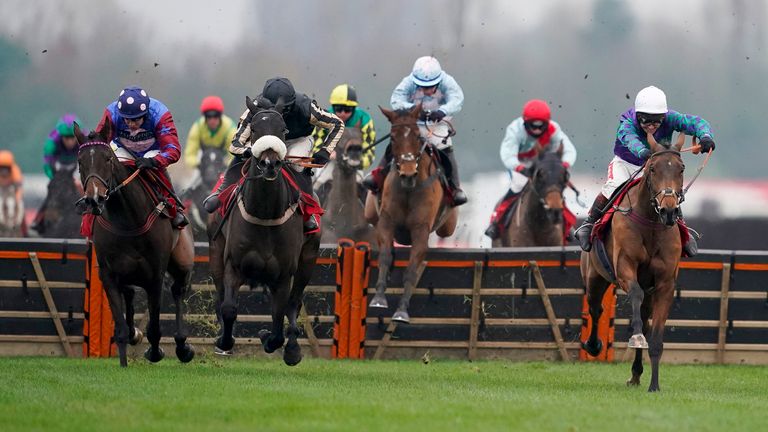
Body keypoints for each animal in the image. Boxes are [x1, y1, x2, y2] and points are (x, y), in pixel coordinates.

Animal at [74, 122, 196, 368]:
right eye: (80, 161)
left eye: (108, 159)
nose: (94, 198)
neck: (127, 220)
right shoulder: (108, 274)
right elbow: (121, 328)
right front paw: (124, 360)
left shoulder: (155, 275)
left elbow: (155, 326)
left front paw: (155, 352)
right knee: (130, 293)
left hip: (182, 261)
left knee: (178, 290)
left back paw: (182, 347)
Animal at [206, 97, 320, 364]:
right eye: (255, 129)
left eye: (283, 130)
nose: (270, 163)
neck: (265, 214)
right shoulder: (233, 265)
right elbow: (229, 308)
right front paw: (224, 341)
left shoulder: (284, 275)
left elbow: (279, 317)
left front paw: (271, 339)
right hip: (215, 253)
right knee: (220, 297)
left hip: (307, 261)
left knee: (293, 303)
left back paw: (292, 347)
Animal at [364, 104, 456, 322]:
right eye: (393, 137)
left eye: (416, 135)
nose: (407, 173)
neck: (408, 188)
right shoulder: (386, 222)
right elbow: (385, 256)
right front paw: (379, 298)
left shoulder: (421, 230)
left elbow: (412, 269)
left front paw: (401, 310)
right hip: (370, 211)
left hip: (448, 226)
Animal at [584, 132, 688, 392]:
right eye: (652, 168)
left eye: (681, 168)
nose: (669, 211)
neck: (651, 223)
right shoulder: (625, 268)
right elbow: (635, 295)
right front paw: (636, 338)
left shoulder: (664, 285)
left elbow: (655, 337)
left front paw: (654, 385)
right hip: (594, 276)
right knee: (596, 308)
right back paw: (593, 346)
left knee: (644, 316)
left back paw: (636, 374)